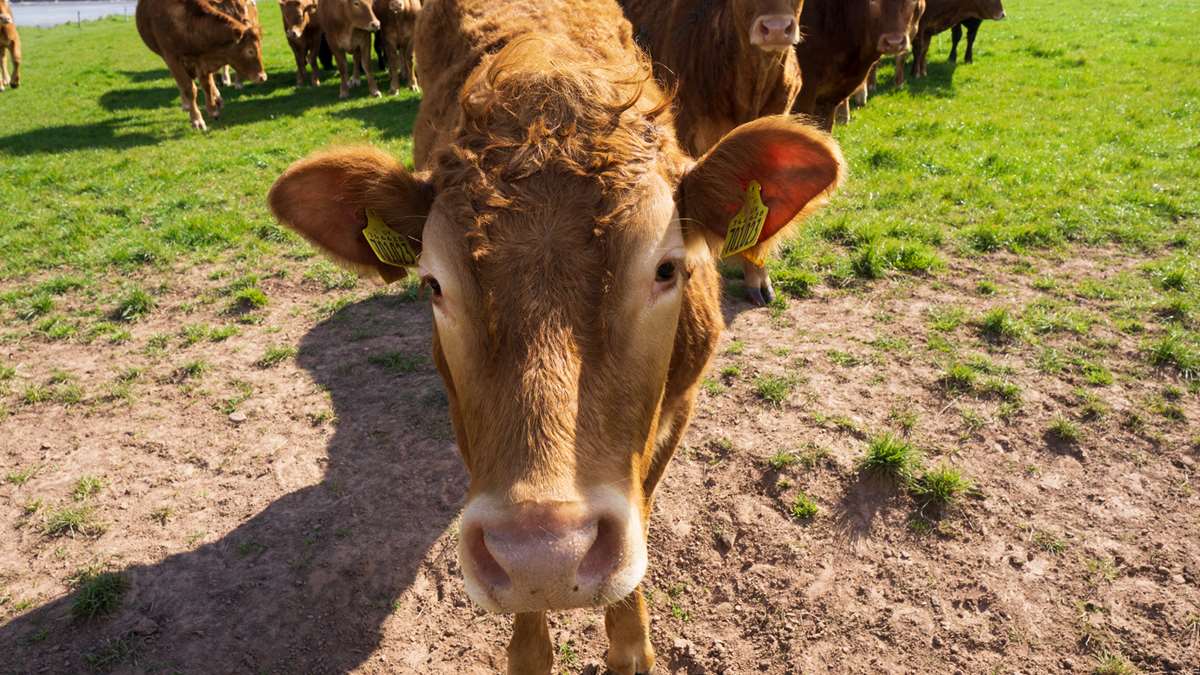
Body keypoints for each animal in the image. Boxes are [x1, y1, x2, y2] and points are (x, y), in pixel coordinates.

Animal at [135, 0, 266, 130]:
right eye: (250, 51)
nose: (263, 77)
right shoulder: (172, 59)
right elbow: (189, 89)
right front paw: (197, 120)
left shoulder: (202, 60)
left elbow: (207, 85)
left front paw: (213, 109)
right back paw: (187, 104)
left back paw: (217, 98)